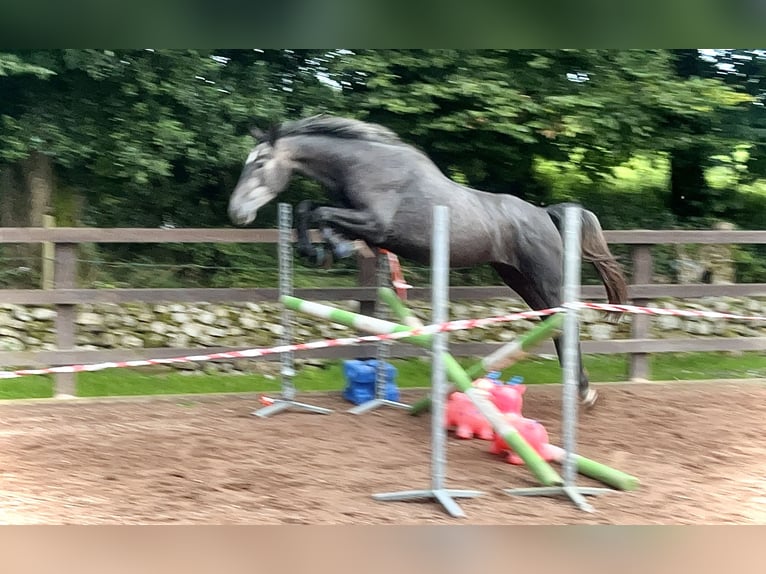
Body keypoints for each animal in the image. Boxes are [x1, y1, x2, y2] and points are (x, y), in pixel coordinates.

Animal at [228, 113, 632, 410]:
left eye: (260, 163)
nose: (237, 213)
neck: (364, 165)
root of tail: (544, 214)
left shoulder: (374, 222)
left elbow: (319, 212)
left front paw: (329, 250)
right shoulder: (366, 228)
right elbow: (309, 210)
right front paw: (319, 251)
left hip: (544, 278)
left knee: (566, 324)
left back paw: (583, 391)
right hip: (518, 279)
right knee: (554, 326)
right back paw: (577, 388)